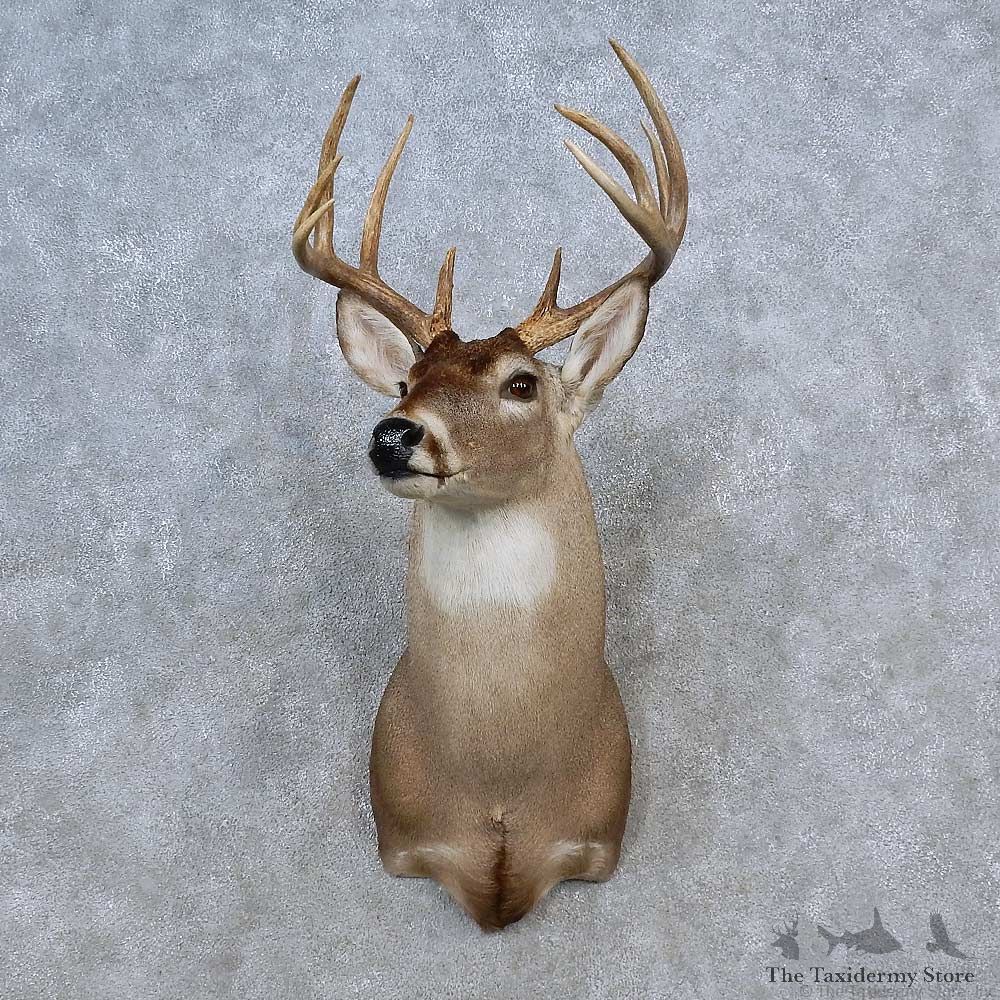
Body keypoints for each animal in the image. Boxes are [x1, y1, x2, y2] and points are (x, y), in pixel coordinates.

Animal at [291, 39, 687, 931]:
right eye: (406, 381)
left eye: (521, 383)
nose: (395, 434)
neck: (501, 787)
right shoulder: (406, 838)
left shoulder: (594, 838)